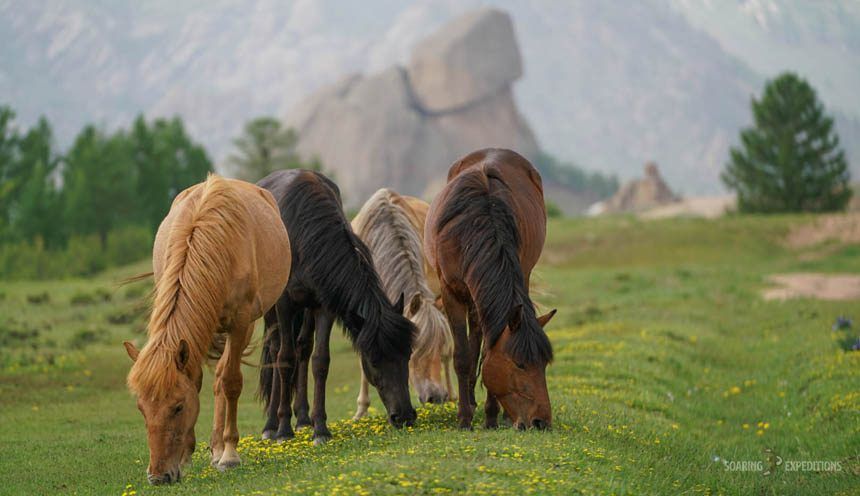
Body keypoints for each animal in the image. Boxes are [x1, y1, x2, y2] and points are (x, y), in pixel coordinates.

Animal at [124, 174, 291, 484]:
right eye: (141, 408)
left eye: (178, 407)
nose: (158, 476)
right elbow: (198, 380)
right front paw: (187, 455)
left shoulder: (240, 322)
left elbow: (231, 382)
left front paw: (229, 454)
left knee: (223, 377)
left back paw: (220, 448)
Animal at [257, 169, 417, 445]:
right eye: (373, 360)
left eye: (407, 354)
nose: (404, 415)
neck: (303, 236)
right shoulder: (285, 304)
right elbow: (284, 358)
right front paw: (283, 430)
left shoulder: (324, 305)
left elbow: (320, 361)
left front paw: (320, 429)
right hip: (272, 308)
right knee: (276, 349)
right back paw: (272, 425)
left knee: (303, 348)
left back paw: (303, 419)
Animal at [424, 148, 556, 431]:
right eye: (520, 364)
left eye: (544, 364)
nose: (541, 422)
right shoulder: (450, 292)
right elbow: (463, 356)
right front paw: (464, 417)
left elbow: (487, 351)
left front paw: (492, 416)